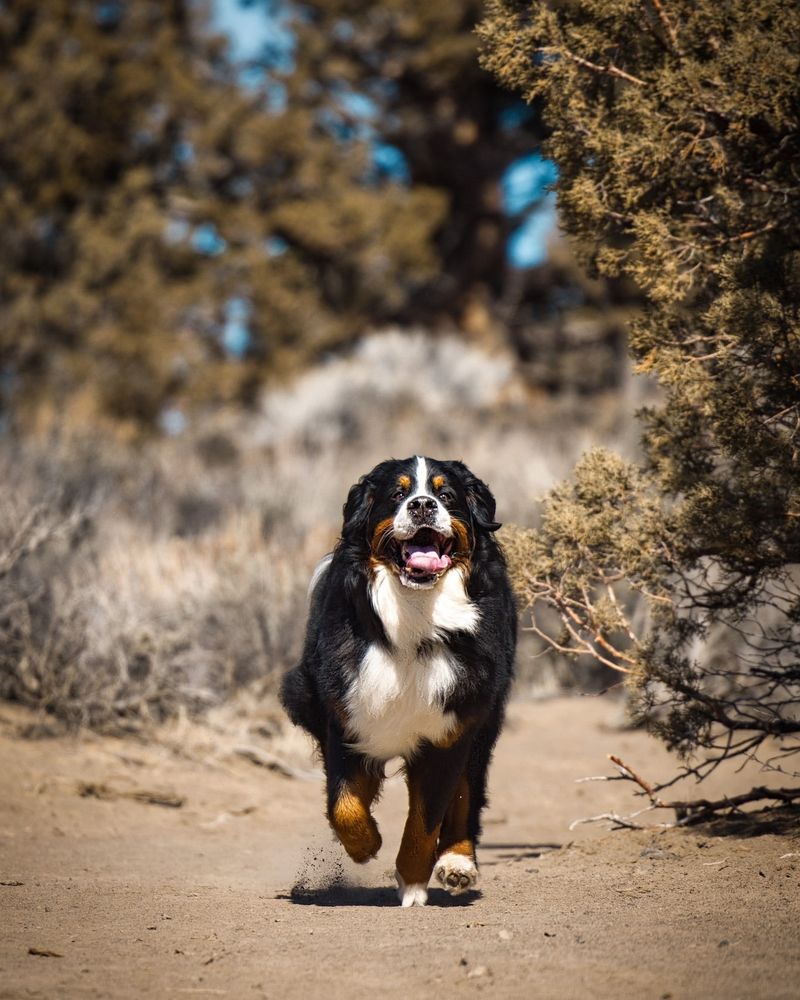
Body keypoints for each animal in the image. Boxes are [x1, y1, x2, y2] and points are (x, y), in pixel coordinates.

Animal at [282, 458, 516, 908]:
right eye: (397, 494)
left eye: (446, 494)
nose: (422, 505)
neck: (415, 614)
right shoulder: (347, 718)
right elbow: (344, 805)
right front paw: (366, 844)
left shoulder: (449, 731)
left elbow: (427, 818)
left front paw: (411, 883)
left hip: (483, 720)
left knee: (468, 791)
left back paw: (458, 862)